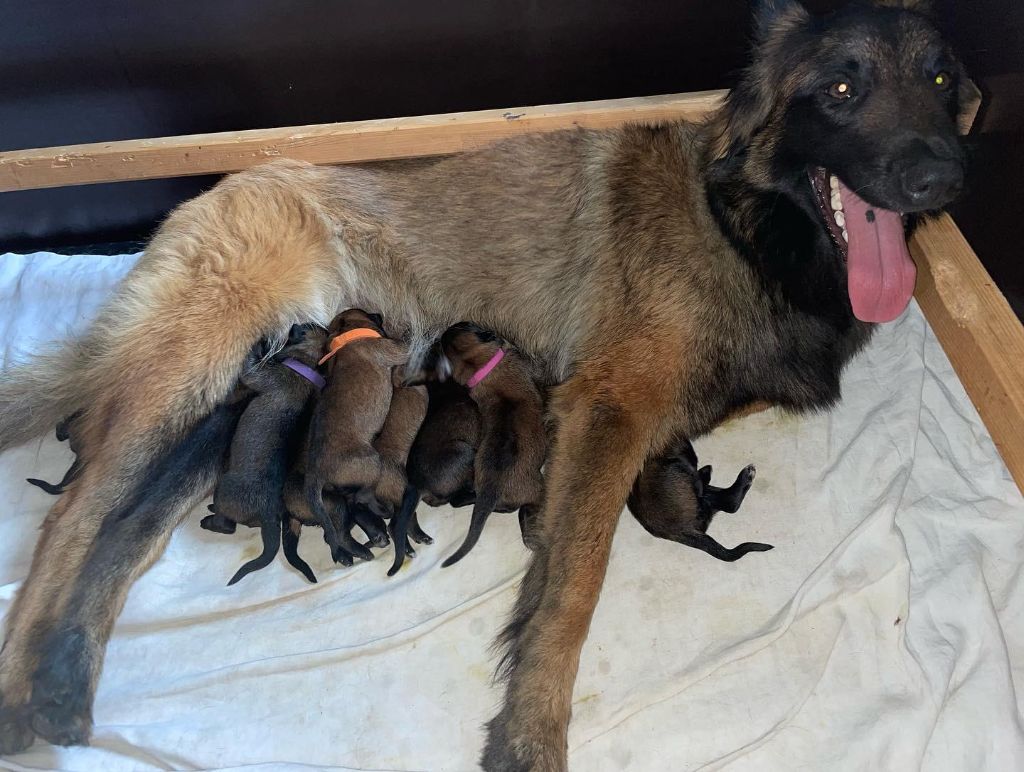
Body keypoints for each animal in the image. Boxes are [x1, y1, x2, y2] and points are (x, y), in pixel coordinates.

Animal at [200, 321, 325, 581]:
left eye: (305, 327)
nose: (294, 323)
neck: (305, 364)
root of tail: (268, 515)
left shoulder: (261, 375)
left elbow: (249, 370)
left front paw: (257, 344)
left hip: (224, 488)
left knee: (228, 526)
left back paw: (210, 519)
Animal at [299, 305, 407, 561]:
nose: (378, 313)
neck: (346, 337)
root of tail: (316, 473)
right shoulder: (394, 349)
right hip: (371, 462)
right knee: (363, 496)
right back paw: (383, 510)